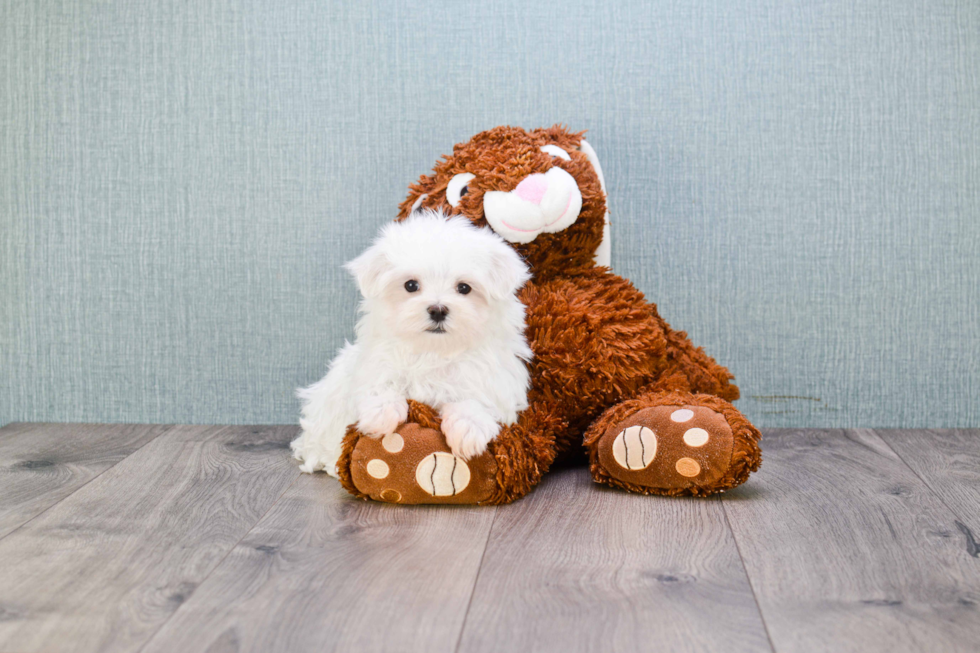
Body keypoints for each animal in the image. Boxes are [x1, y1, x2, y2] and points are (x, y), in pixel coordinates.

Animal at [290, 211, 532, 476]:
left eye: (464, 288)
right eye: (411, 285)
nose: (438, 309)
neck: (434, 351)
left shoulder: (492, 379)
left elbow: (477, 400)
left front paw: (468, 428)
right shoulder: (375, 364)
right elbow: (382, 383)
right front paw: (381, 412)